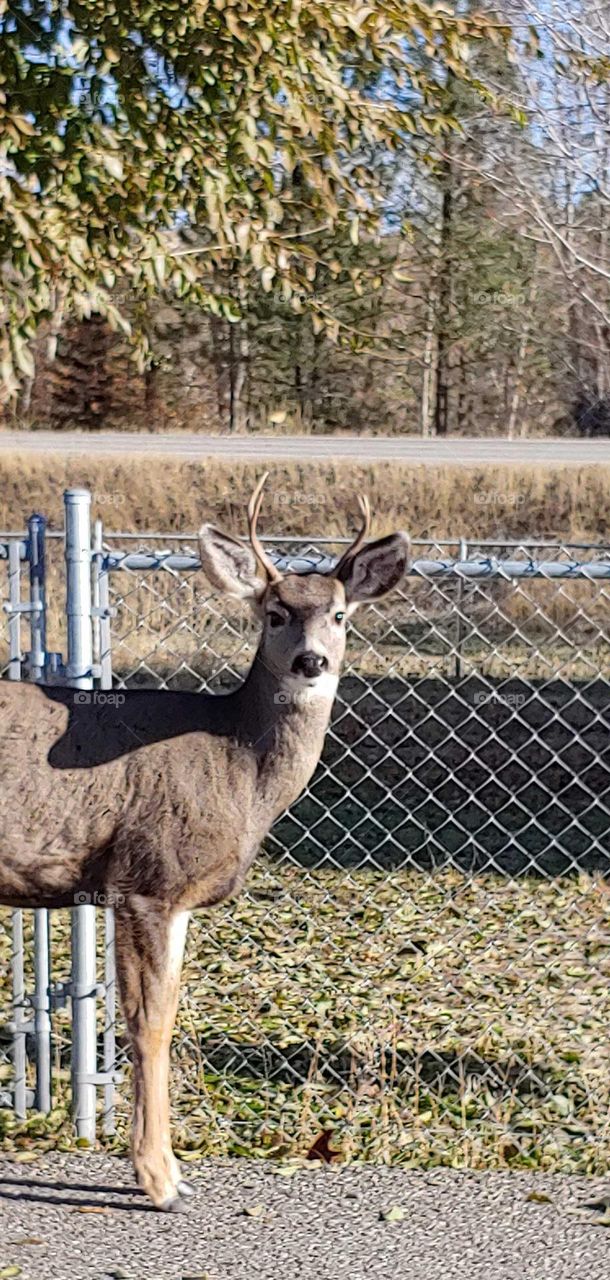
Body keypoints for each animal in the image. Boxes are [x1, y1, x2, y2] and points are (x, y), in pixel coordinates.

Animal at [1, 478, 409, 1208]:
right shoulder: (146, 880)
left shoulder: (178, 899)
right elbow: (150, 1023)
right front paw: (160, 1179)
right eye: (275, 613)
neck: (237, 768)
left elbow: (167, 1012)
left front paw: (168, 1168)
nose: (311, 661)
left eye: (339, 614)